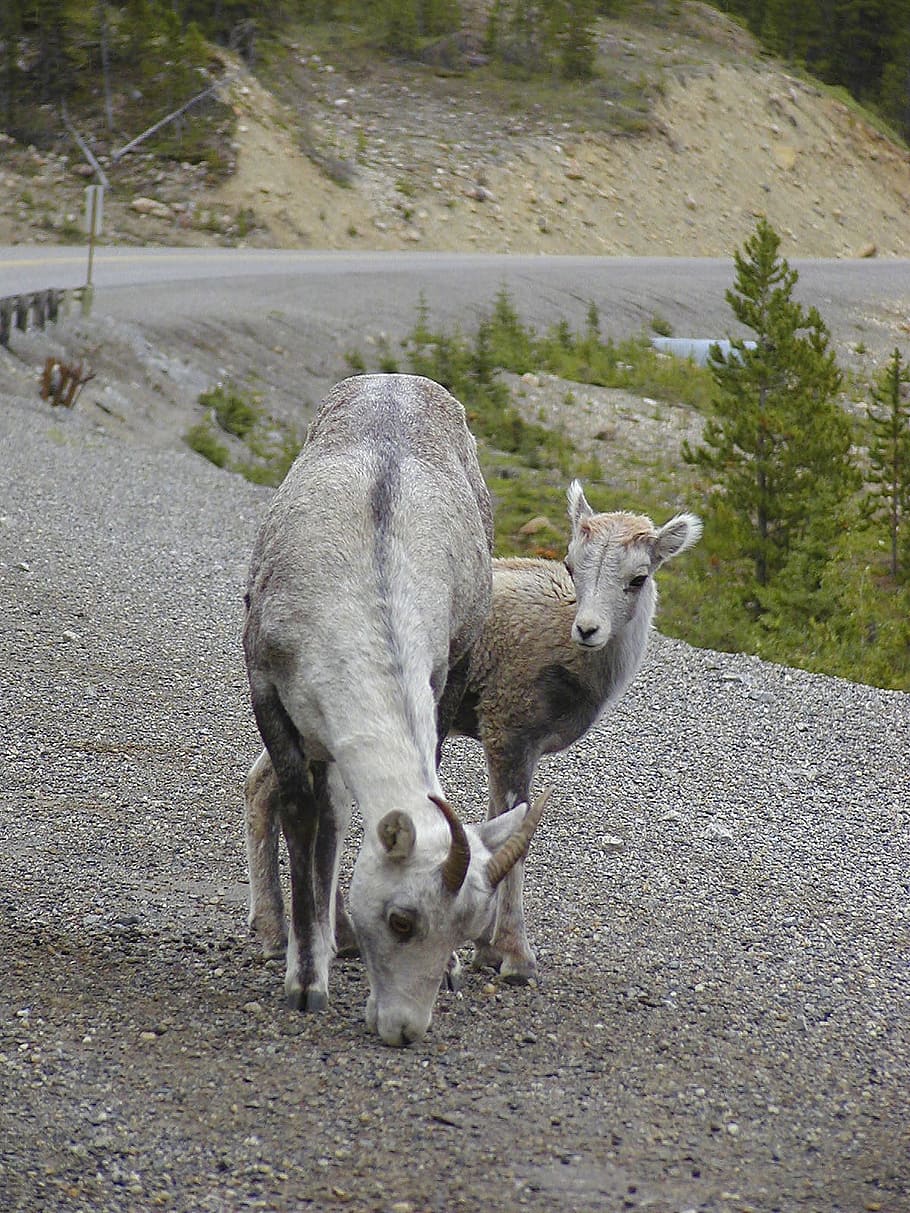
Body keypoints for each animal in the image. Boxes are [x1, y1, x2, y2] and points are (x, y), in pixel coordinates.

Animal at [242, 373, 547, 1047]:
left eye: (467, 929)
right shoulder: (270, 694)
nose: (405, 1030)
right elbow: (305, 815)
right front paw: (307, 982)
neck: (365, 590)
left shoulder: (437, 681)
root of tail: (398, 381)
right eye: (402, 920)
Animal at [246, 478, 701, 989]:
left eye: (638, 577)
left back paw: (289, 933)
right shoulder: (508, 735)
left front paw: (485, 948)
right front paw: (515, 958)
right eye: (571, 565)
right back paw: (290, 936)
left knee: (263, 787)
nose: (588, 629)